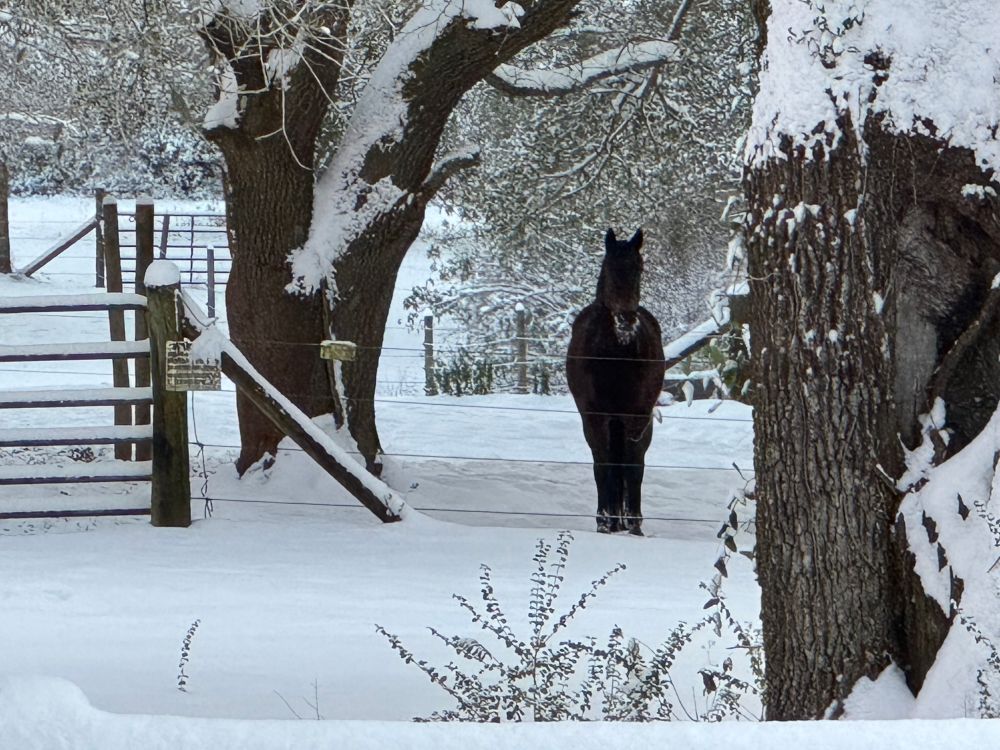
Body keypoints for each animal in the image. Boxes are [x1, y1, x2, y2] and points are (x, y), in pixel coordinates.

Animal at [566, 228, 666, 535]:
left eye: (639, 268)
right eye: (609, 268)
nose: (626, 321)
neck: (616, 354)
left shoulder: (637, 416)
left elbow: (633, 466)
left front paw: (634, 525)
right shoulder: (595, 416)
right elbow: (603, 464)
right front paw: (604, 522)